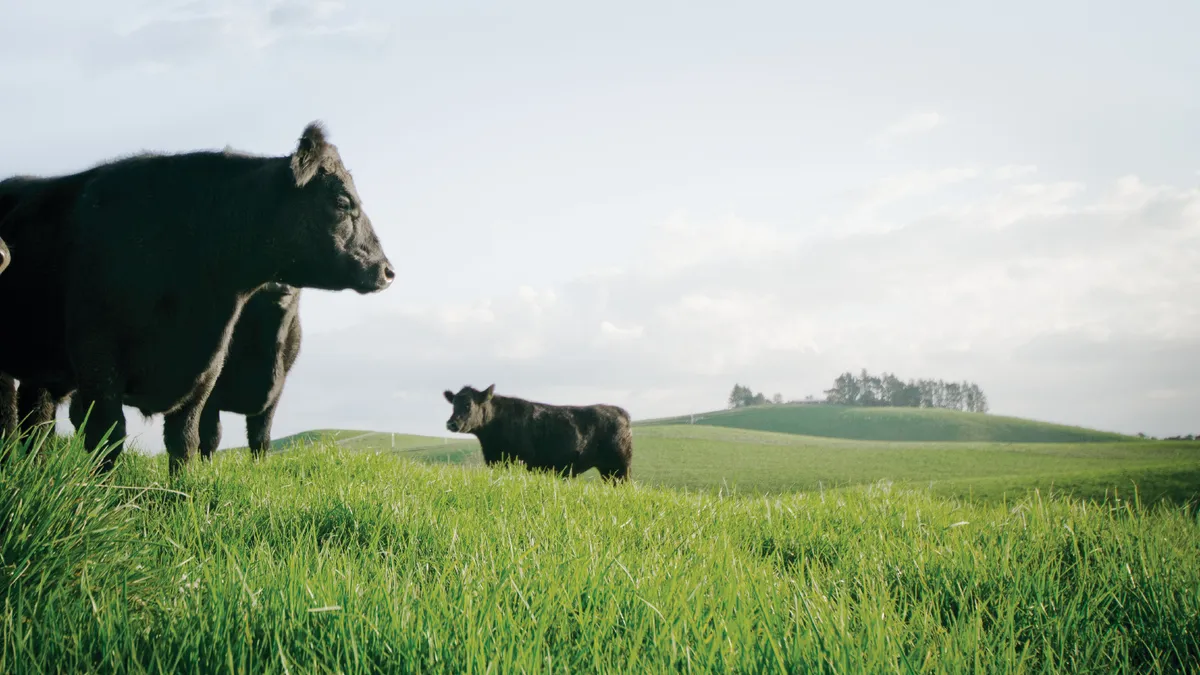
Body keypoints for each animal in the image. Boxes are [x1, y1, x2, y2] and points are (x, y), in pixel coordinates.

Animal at [439, 384, 628, 478]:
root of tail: (619, 411)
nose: (451, 424)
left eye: (468, 405)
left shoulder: (518, 461)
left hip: (619, 467)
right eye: (453, 404)